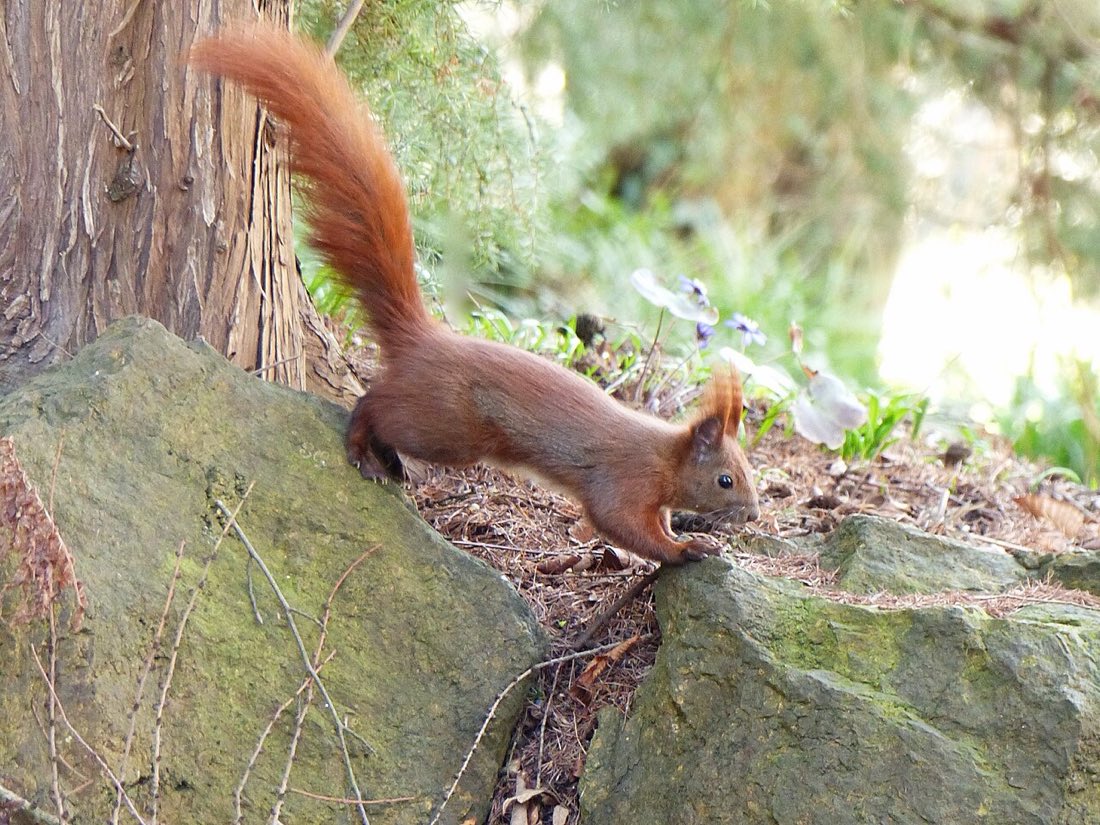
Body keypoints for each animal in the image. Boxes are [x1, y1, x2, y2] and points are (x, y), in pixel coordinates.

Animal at [190, 24, 759, 565]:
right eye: (725, 479)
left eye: (749, 471)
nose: (753, 514)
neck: (663, 456)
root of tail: (425, 340)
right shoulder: (624, 480)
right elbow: (619, 523)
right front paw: (688, 549)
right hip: (446, 427)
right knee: (373, 405)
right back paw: (363, 449)